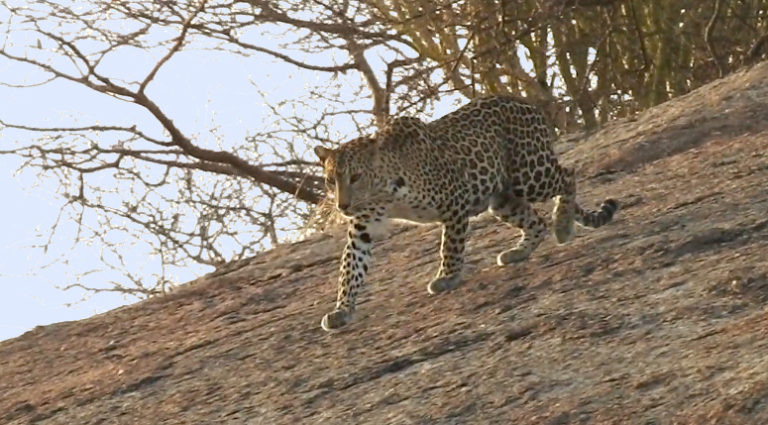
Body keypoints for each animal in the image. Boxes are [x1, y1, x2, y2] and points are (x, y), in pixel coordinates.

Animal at [313, 95, 619, 332]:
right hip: (503, 198)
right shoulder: (362, 229)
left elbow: (450, 247)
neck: (383, 192)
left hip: (530, 174)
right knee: (536, 221)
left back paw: (563, 225)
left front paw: (446, 278)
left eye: (355, 177)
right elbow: (350, 270)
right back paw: (517, 253)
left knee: (568, 175)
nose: (342, 206)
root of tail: (527, 103)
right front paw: (341, 310)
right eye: (330, 180)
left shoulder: (454, 203)